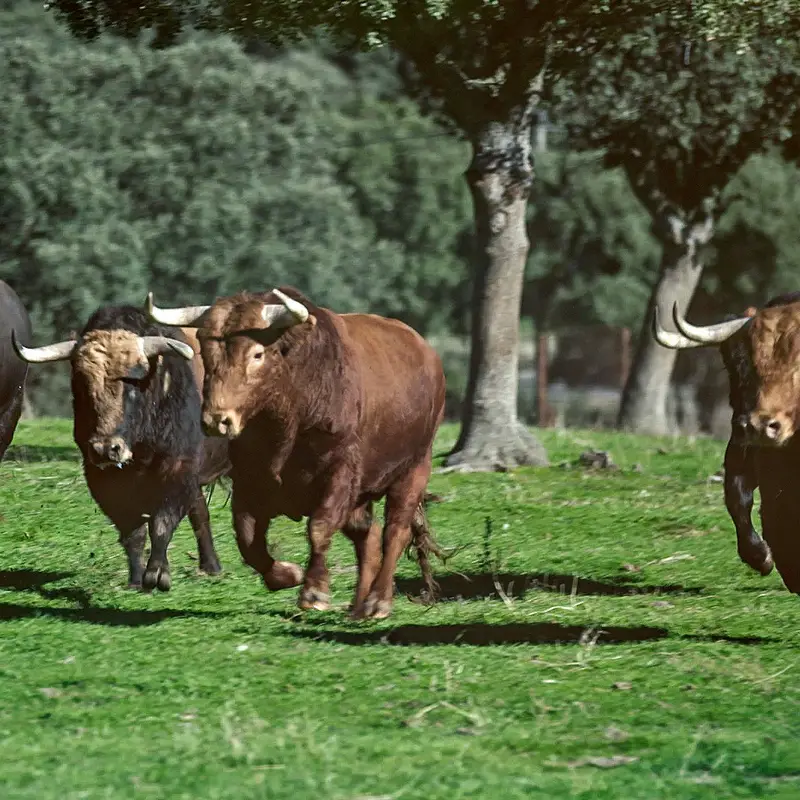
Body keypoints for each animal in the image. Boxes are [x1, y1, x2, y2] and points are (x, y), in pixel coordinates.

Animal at [12, 305, 230, 591]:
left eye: (132, 384)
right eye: (83, 385)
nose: (106, 449)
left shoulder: (178, 469)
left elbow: (162, 523)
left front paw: (157, 574)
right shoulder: (103, 481)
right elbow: (133, 532)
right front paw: (137, 579)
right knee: (200, 513)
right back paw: (211, 566)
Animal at [145, 286, 446, 619]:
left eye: (257, 354)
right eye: (207, 355)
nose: (216, 420)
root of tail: (426, 352)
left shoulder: (340, 473)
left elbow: (320, 527)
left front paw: (314, 591)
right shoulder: (250, 480)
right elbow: (248, 539)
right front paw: (287, 574)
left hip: (414, 469)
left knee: (395, 531)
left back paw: (378, 601)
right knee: (366, 534)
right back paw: (358, 606)